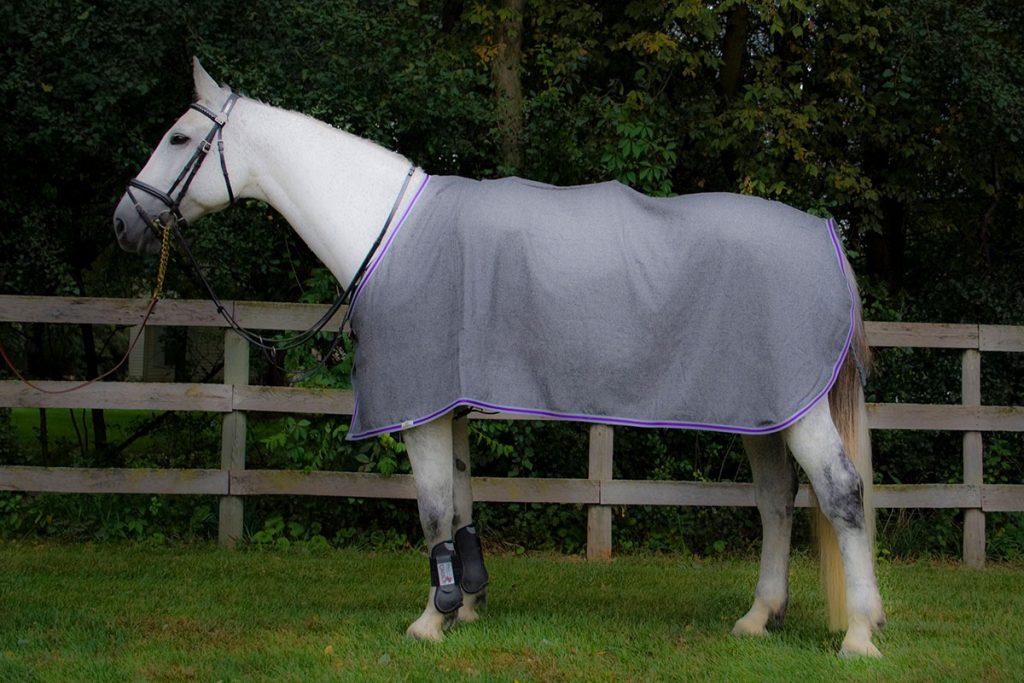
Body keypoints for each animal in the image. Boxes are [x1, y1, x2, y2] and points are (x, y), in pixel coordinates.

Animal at [113, 59, 885, 657]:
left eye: (179, 137)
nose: (123, 222)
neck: (388, 232)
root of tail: (828, 236)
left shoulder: (419, 409)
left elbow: (430, 512)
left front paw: (430, 621)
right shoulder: (448, 402)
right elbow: (459, 503)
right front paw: (468, 604)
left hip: (799, 412)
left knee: (841, 494)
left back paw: (860, 632)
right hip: (762, 411)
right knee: (776, 500)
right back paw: (759, 617)